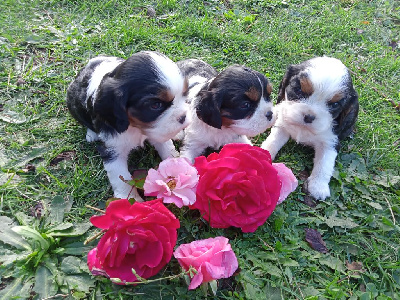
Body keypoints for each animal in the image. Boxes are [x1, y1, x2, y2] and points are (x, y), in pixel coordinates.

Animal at [67, 51, 189, 200]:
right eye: (155, 105)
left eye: (185, 94)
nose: (183, 117)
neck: (134, 127)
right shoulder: (112, 150)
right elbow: (121, 176)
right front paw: (131, 199)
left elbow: (167, 147)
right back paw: (91, 134)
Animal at [262, 57, 360, 200]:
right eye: (298, 90)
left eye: (335, 104)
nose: (309, 116)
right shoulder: (283, 125)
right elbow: (273, 141)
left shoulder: (330, 142)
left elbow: (324, 164)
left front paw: (318, 186)